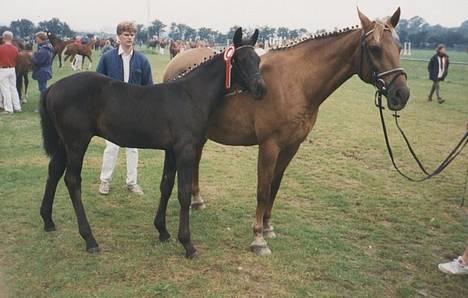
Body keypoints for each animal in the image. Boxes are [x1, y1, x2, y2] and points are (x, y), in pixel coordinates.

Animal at [164, 8, 410, 256]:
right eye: (375, 48)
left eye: (399, 48)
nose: (402, 94)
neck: (296, 82)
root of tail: (177, 61)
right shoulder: (269, 146)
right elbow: (263, 189)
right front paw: (258, 239)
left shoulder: (291, 147)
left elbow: (274, 186)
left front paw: (268, 227)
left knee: (196, 161)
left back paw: (197, 200)